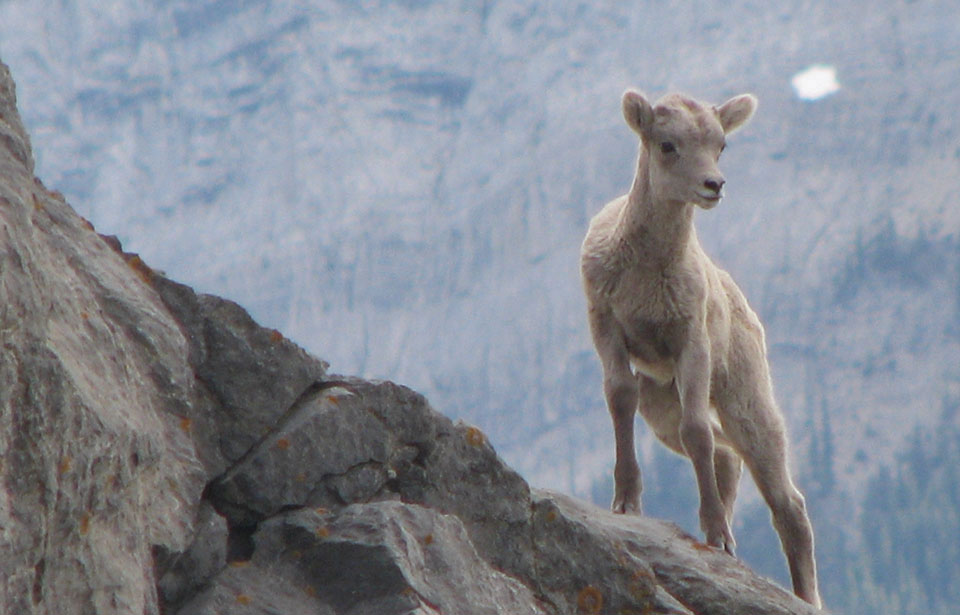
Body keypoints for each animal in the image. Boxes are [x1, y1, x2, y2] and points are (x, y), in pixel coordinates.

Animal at [580, 89, 820, 608]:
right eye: (667, 144)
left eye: (721, 144)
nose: (714, 185)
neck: (647, 274)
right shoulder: (607, 327)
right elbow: (620, 398)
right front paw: (626, 502)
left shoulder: (692, 343)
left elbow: (698, 433)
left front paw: (718, 538)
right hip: (660, 403)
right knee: (728, 458)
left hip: (745, 398)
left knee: (786, 501)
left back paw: (805, 597)